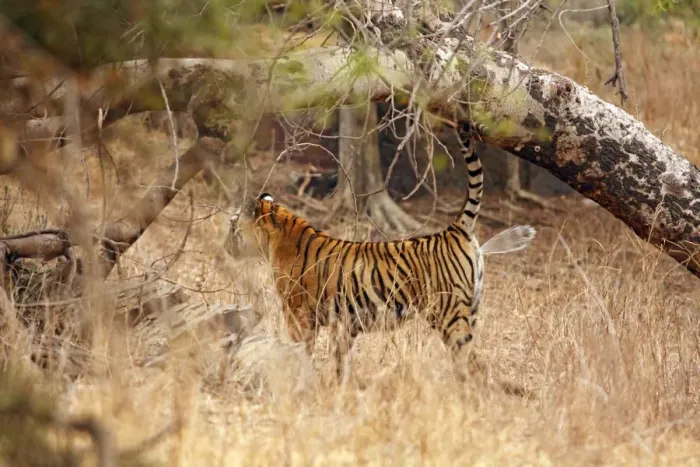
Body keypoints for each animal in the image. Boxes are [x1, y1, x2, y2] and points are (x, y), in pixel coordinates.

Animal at [224, 122, 536, 379]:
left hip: (449, 314)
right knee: (477, 362)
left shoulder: (299, 315)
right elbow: (341, 359)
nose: (225, 246)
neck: (277, 237)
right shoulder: (343, 324)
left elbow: (302, 350)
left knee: (471, 363)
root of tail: (455, 229)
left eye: (232, 225)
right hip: (471, 310)